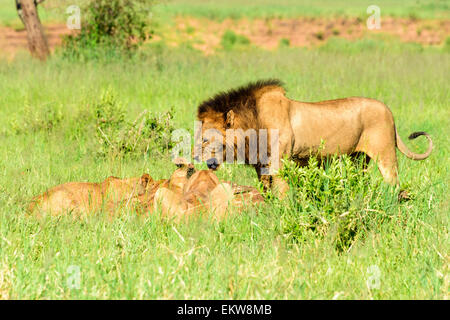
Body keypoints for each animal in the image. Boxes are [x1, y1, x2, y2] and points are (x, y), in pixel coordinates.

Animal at [197, 80, 432, 195]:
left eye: (205, 139)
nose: (203, 160)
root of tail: (388, 110)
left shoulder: (279, 163)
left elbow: (282, 193)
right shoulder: (261, 166)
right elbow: (266, 193)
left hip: (385, 154)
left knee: (394, 182)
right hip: (357, 159)